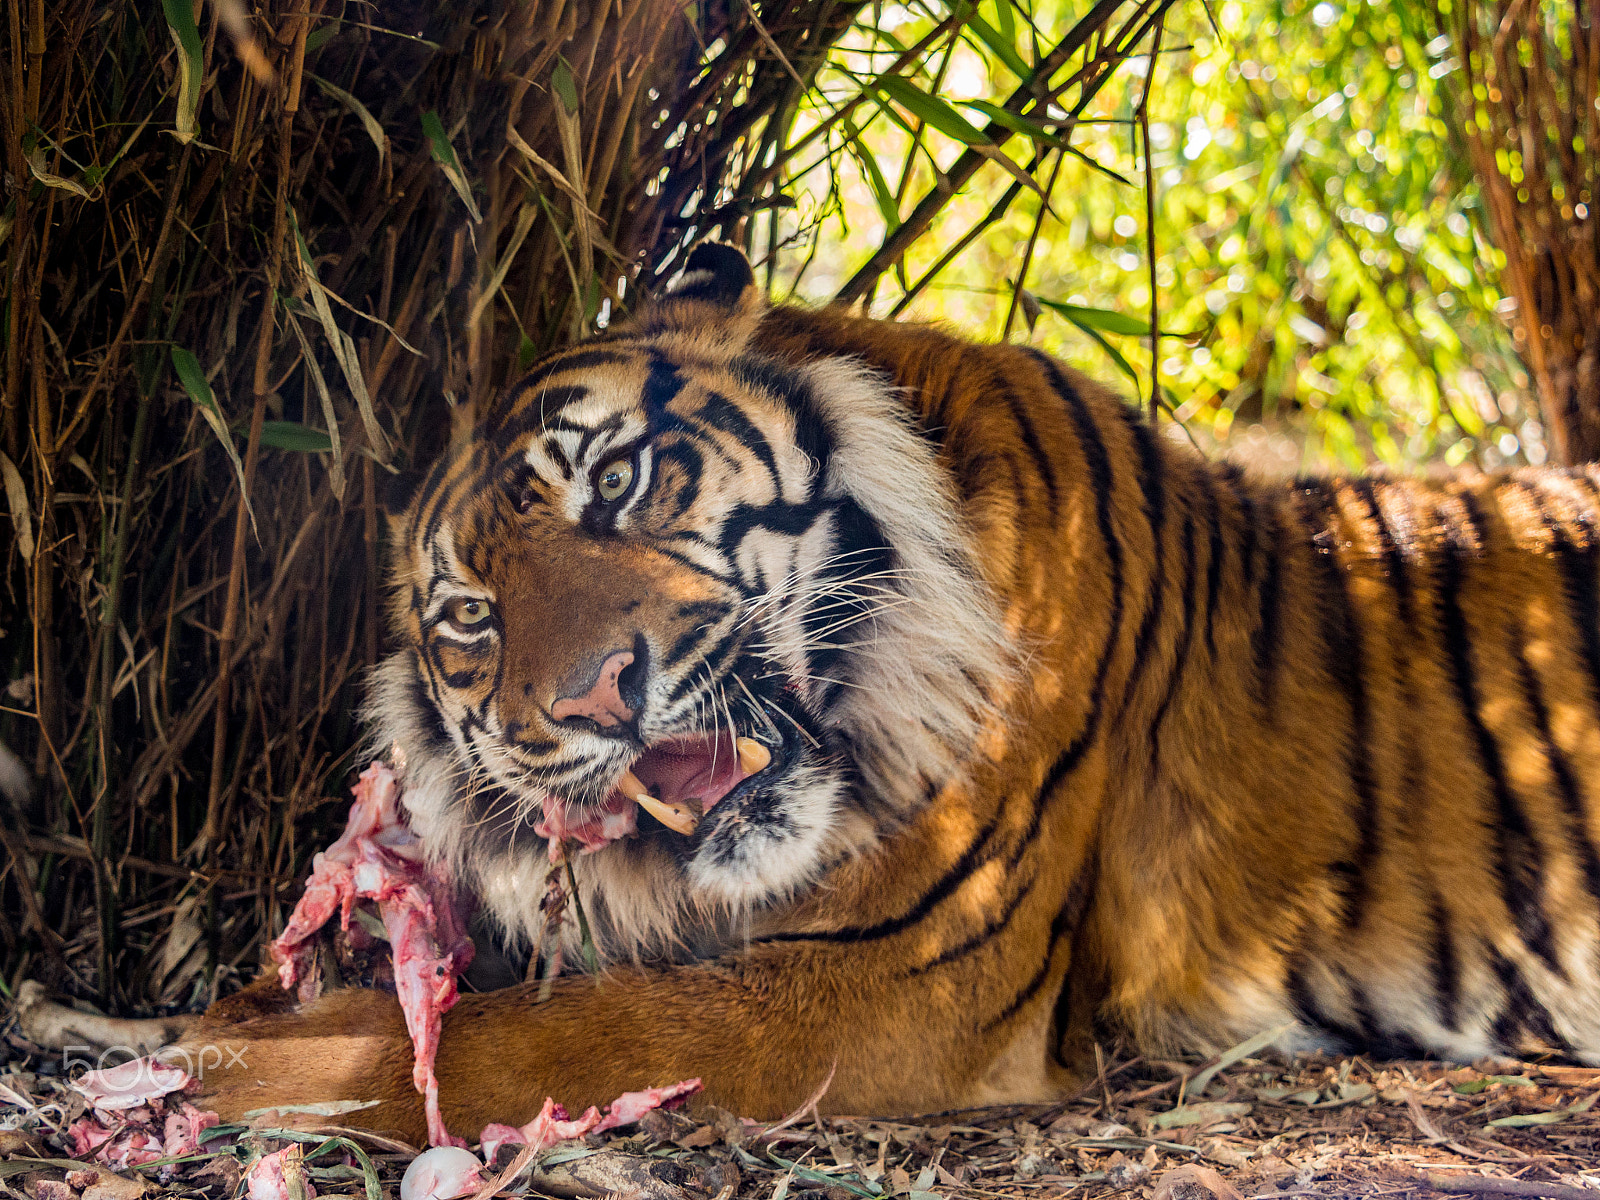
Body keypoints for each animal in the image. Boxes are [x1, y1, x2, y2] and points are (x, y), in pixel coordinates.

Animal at [181, 241, 1600, 1145]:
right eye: (470, 617)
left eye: (620, 481)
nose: (597, 698)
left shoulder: (895, 977)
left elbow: (517, 1042)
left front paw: (189, 1058)